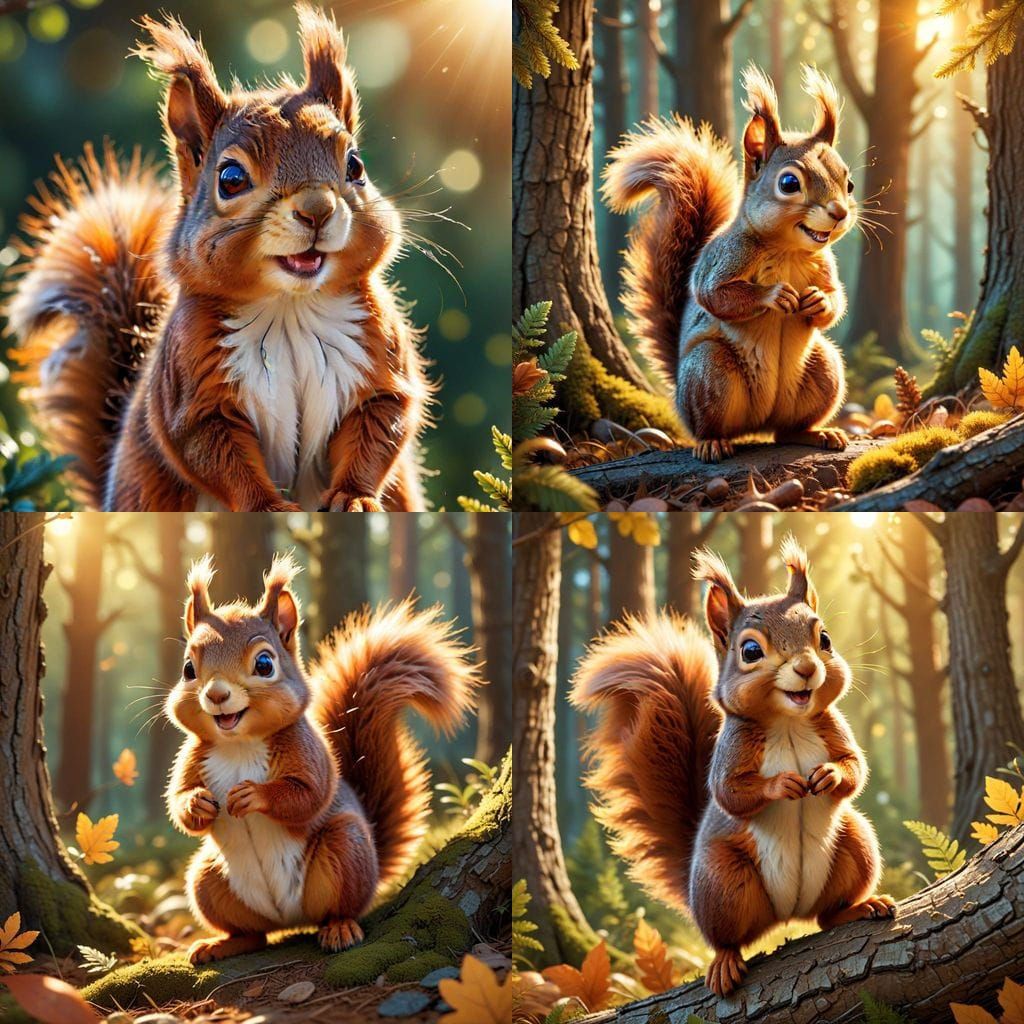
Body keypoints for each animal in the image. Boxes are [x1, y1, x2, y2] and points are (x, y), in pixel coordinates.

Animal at [5, 5, 431, 511]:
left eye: (355, 165)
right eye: (230, 178)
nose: (317, 210)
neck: (291, 306)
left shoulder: (381, 353)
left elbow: (380, 426)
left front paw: (355, 498)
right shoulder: (192, 386)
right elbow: (216, 453)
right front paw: (268, 507)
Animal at [164, 552, 479, 963]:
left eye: (264, 664)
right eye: (188, 669)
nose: (216, 695)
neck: (239, 744)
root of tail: (288, 919)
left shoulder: (308, 752)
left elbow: (307, 795)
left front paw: (253, 795)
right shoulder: (193, 756)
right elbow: (178, 800)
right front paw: (197, 803)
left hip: (345, 851)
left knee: (337, 909)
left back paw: (339, 928)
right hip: (207, 878)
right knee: (253, 934)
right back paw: (221, 943)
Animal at [570, 536, 894, 998]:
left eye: (825, 638)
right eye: (751, 651)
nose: (807, 668)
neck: (789, 721)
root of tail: (786, 914)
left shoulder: (833, 728)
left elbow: (855, 766)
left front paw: (829, 775)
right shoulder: (732, 750)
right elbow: (730, 794)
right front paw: (781, 785)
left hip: (856, 844)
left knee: (826, 916)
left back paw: (861, 906)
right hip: (722, 881)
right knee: (727, 938)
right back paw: (724, 962)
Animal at [602, 65, 856, 463]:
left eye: (850, 183)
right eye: (789, 183)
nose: (840, 213)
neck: (787, 250)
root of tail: (758, 424)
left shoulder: (825, 267)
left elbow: (836, 299)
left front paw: (818, 301)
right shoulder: (724, 257)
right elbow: (714, 296)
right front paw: (773, 296)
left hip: (824, 368)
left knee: (787, 431)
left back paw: (817, 433)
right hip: (710, 372)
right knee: (710, 425)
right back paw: (712, 442)